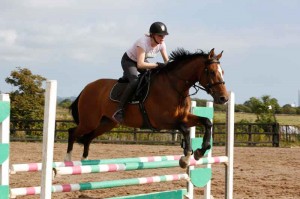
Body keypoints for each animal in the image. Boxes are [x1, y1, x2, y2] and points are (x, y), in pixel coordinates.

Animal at [65, 47, 229, 168]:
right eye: (212, 72)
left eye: (222, 72)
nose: (224, 98)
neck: (175, 86)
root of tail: (87, 87)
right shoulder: (161, 121)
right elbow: (185, 129)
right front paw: (186, 158)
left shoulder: (184, 117)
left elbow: (207, 122)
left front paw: (200, 151)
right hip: (89, 121)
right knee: (73, 132)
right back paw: (67, 160)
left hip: (107, 123)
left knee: (88, 137)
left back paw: (85, 161)